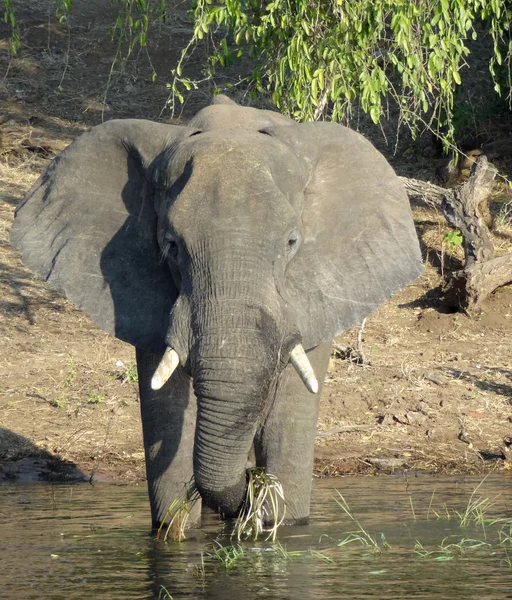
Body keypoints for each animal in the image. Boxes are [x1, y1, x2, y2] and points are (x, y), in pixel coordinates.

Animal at [10, 95, 422, 528]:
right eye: (172, 245)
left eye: (292, 242)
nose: (250, 484)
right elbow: (166, 409)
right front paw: (177, 527)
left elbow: (288, 419)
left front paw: (279, 519)